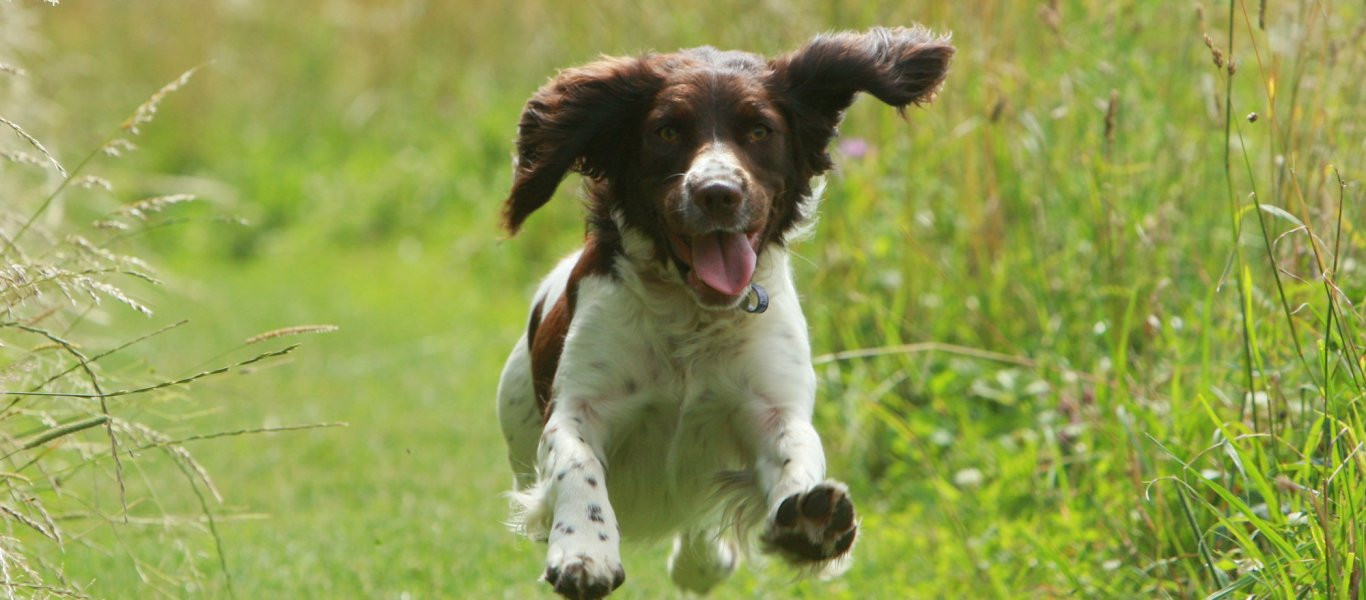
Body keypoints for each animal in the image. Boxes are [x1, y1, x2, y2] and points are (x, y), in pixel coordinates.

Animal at [497, 26, 956, 600]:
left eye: (759, 130)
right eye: (667, 130)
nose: (717, 193)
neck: (693, 316)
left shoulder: (769, 405)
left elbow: (796, 449)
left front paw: (812, 522)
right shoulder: (581, 405)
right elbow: (576, 464)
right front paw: (584, 552)